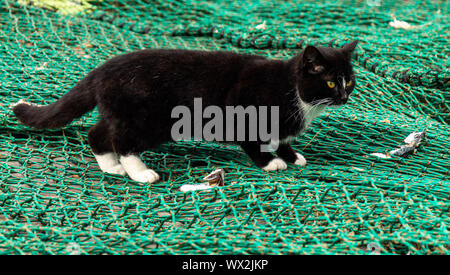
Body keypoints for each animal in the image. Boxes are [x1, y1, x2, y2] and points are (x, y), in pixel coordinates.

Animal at [12, 40, 358, 183]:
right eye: (330, 83)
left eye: (350, 81)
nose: (343, 97)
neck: (294, 93)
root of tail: (102, 69)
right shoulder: (243, 110)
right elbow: (252, 141)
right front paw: (271, 162)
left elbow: (283, 138)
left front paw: (291, 154)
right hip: (149, 119)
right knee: (122, 140)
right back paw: (140, 172)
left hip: (119, 111)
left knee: (96, 133)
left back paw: (111, 168)